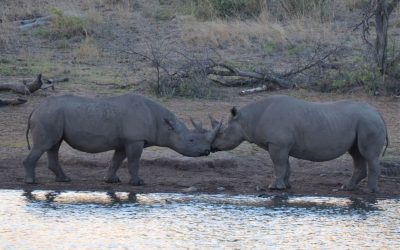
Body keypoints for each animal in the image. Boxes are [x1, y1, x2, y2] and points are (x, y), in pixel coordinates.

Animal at [23, 93, 220, 185]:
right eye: (191, 140)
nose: (207, 151)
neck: (163, 125)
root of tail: (35, 109)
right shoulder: (135, 140)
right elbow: (133, 161)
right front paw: (138, 183)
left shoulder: (125, 141)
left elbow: (117, 160)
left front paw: (111, 180)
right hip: (48, 115)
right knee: (45, 145)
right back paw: (32, 181)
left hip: (52, 116)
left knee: (54, 145)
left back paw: (64, 179)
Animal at [211, 94, 390, 192]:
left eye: (221, 133)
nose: (211, 148)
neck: (247, 119)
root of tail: (378, 113)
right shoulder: (281, 145)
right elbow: (285, 165)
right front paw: (285, 186)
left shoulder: (277, 144)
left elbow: (279, 165)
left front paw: (273, 187)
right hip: (364, 122)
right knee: (356, 153)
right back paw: (347, 187)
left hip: (368, 122)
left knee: (368, 155)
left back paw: (369, 191)